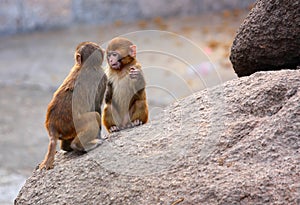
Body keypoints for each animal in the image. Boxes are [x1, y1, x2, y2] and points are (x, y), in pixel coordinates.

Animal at [38, 41, 106, 170]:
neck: (83, 65)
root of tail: (52, 124)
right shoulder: (102, 76)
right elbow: (96, 105)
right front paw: (100, 136)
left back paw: (67, 147)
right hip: (72, 124)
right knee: (95, 115)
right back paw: (79, 146)